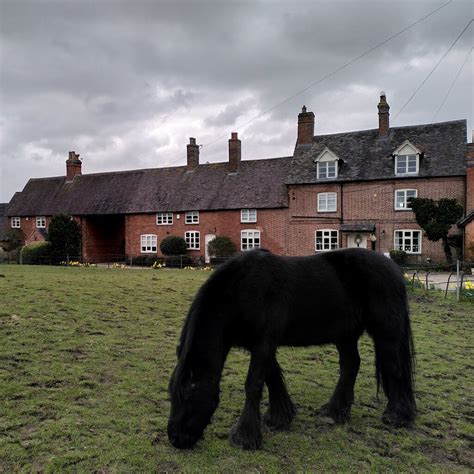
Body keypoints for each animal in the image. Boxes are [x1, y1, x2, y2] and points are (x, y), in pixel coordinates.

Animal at [167, 250, 414, 450]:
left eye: (188, 394)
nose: (175, 438)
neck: (242, 290)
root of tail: (395, 270)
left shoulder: (263, 343)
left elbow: (253, 385)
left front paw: (245, 436)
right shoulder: (261, 345)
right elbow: (272, 377)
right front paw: (280, 416)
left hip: (386, 332)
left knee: (394, 369)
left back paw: (396, 415)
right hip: (345, 335)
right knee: (350, 365)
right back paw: (334, 411)